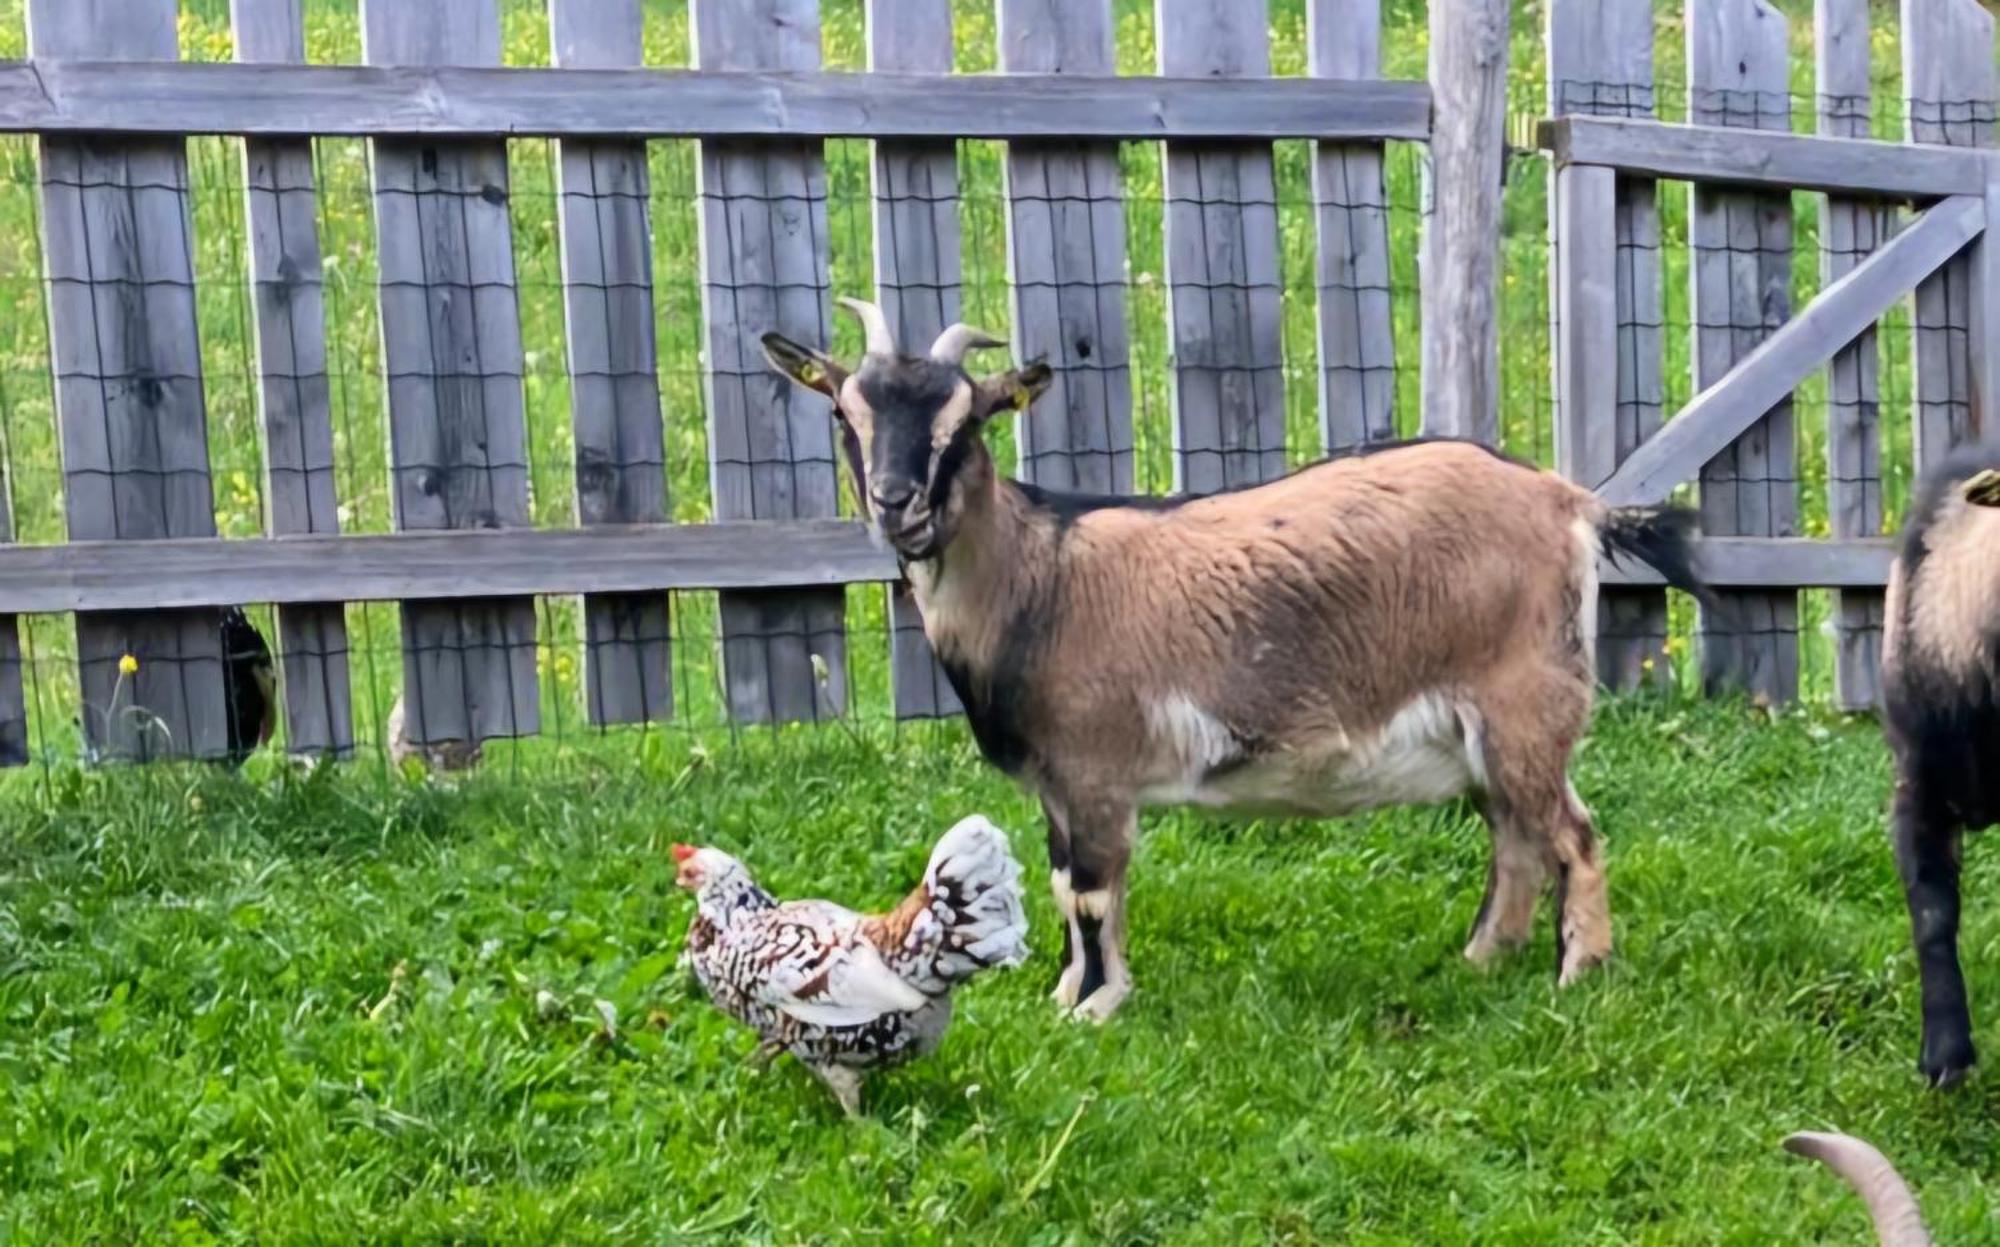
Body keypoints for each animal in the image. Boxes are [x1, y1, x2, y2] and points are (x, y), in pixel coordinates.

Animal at [764, 301, 1704, 1023]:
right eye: (845, 412)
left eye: (967, 421)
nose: (897, 504)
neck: (1039, 578)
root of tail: (1571, 502)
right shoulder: (1058, 787)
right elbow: (1064, 885)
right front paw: (1063, 995)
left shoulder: (1097, 771)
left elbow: (1094, 891)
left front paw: (1098, 1008)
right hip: (1489, 731)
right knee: (1516, 836)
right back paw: (1477, 961)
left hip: (1526, 702)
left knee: (1571, 833)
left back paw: (1576, 973)